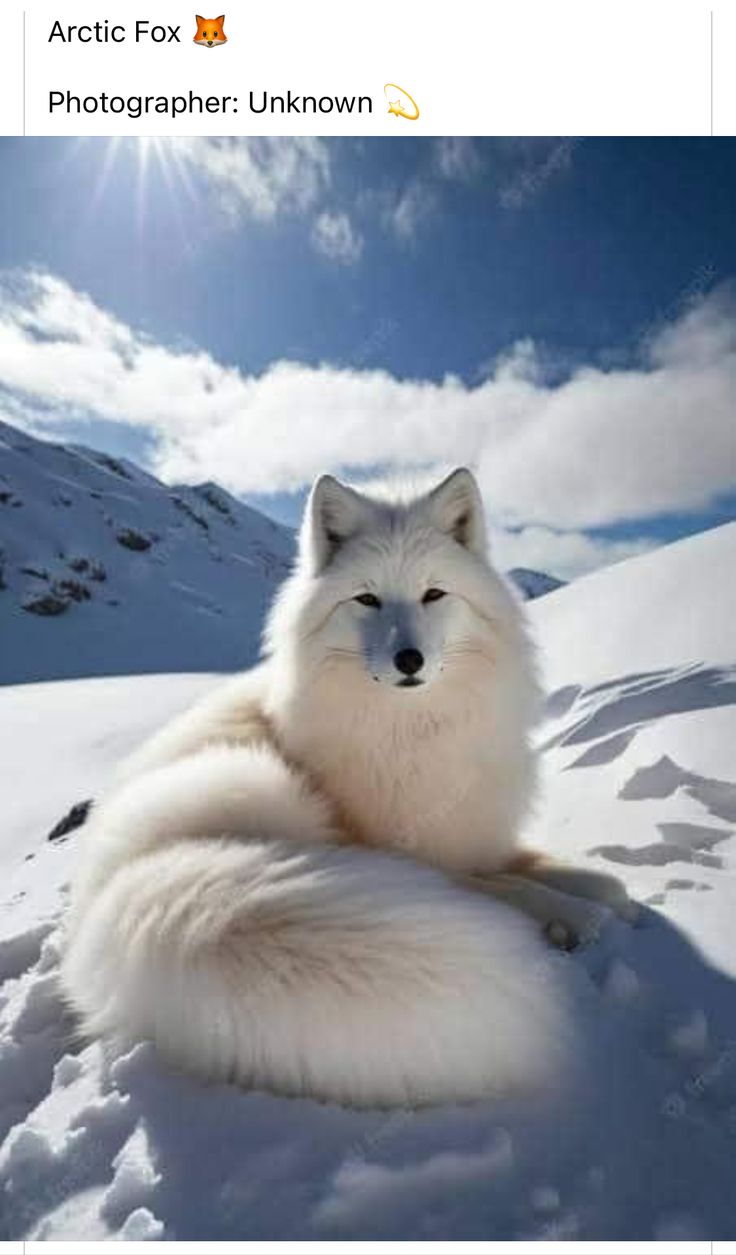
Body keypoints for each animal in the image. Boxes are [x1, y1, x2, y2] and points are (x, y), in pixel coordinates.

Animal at [61, 471, 630, 1109]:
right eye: (367, 599)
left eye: (434, 594)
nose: (409, 659)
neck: (412, 730)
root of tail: (106, 899)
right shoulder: (414, 854)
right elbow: (511, 887)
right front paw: (571, 915)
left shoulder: (472, 837)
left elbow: (564, 872)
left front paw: (596, 890)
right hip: (251, 783)